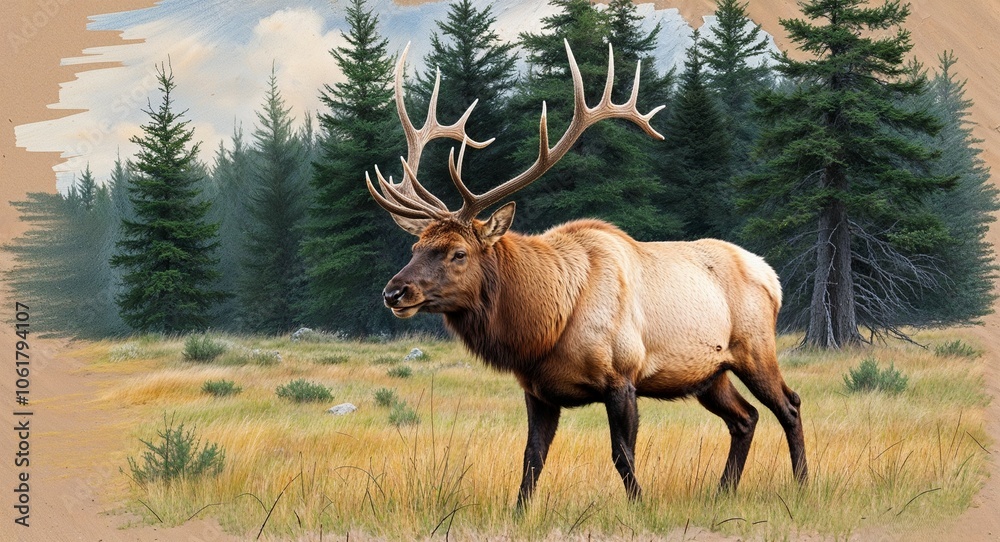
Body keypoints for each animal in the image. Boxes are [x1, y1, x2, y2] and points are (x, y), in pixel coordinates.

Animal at [365, 40, 807, 510]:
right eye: (415, 248)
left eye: (458, 253)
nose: (394, 292)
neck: (545, 325)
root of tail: (773, 277)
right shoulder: (536, 389)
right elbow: (532, 458)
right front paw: (519, 512)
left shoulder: (622, 375)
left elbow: (623, 455)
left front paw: (640, 506)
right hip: (709, 373)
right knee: (745, 417)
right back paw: (723, 490)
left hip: (755, 348)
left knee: (788, 405)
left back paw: (802, 483)